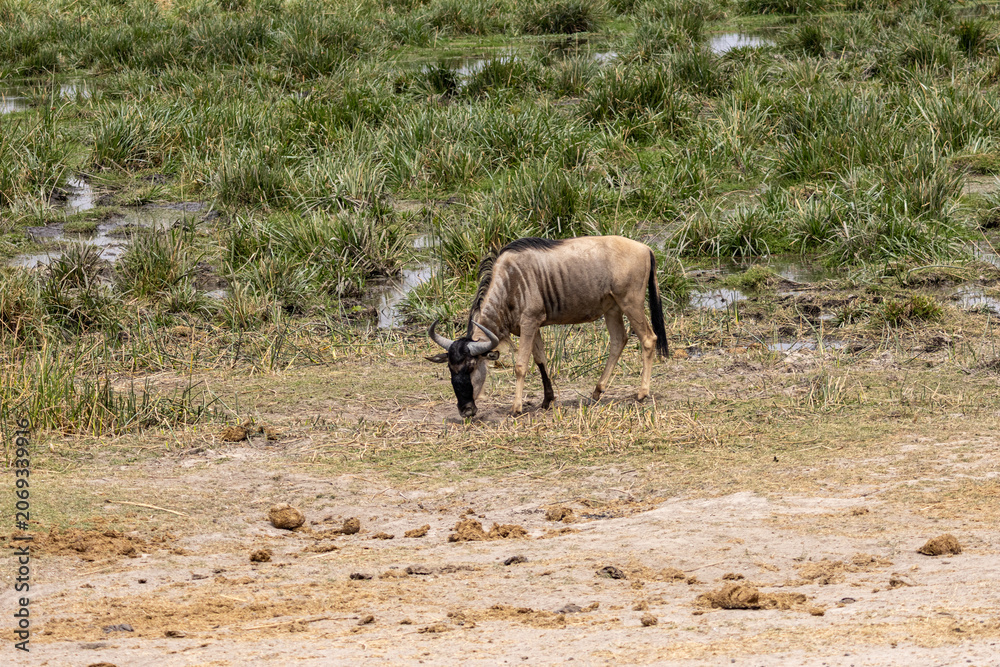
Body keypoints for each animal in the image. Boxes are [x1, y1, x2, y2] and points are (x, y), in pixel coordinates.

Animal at [426, 236, 668, 418]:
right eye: (450, 369)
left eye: (471, 367)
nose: (465, 411)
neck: (509, 281)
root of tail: (645, 248)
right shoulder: (531, 326)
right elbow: (541, 360)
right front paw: (547, 400)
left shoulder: (530, 322)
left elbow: (520, 365)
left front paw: (516, 408)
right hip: (612, 308)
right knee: (619, 340)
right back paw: (597, 391)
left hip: (631, 303)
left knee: (648, 339)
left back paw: (642, 393)